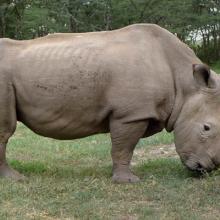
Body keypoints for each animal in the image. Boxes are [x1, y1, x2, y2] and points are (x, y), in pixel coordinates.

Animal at [0, 23, 220, 183]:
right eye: (206, 128)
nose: (204, 169)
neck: (185, 85)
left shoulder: (137, 112)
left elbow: (123, 147)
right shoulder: (131, 114)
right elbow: (123, 147)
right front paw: (128, 181)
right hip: (4, 77)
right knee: (6, 130)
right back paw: (15, 179)